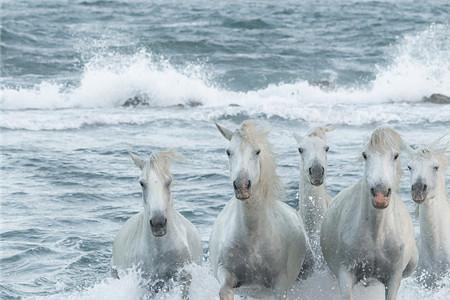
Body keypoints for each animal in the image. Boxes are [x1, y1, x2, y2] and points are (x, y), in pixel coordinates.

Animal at [112, 151, 202, 296]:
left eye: (169, 181)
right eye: (142, 183)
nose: (158, 223)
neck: (160, 251)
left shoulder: (183, 279)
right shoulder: (147, 284)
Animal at [209, 120, 308, 298]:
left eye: (257, 151)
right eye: (228, 152)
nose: (242, 186)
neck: (252, 238)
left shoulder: (279, 286)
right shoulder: (225, 273)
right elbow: (224, 291)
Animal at [322, 127, 416, 298]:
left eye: (395, 155)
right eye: (365, 155)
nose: (380, 194)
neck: (376, 235)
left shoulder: (393, 279)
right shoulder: (345, 274)